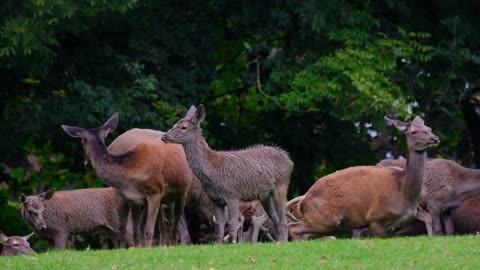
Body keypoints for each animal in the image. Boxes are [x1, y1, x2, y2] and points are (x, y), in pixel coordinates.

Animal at [61, 112, 192, 247]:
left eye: (82, 141)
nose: (85, 161)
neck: (131, 170)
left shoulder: (155, 192)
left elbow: (148, 231)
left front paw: (148, 249)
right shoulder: (134, 198)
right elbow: (136, 232)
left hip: (182, 192)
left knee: (174, 228)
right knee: (165, 225)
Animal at [161, 104, 292, 242]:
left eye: (183, 127)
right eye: (175, 124)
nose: (164, 136)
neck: (212, 170)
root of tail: (288, 159)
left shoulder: (232, 195)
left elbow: (233, 226)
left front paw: (233, 243)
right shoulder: (215, 199)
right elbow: (219, 228)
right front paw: (219, 244)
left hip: (281, 187)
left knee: (283, 219)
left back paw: (282, 242)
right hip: (265, 196)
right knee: (275, 219)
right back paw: (279, 241)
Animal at [286, 115, 440, 239]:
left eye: (429, 128)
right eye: (413, 132)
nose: (435, 138)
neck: (404, 191)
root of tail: (303, 201)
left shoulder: (413, 212)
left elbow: (428, 217)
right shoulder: (376, 217)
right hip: (327, 218)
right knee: (294, 228)